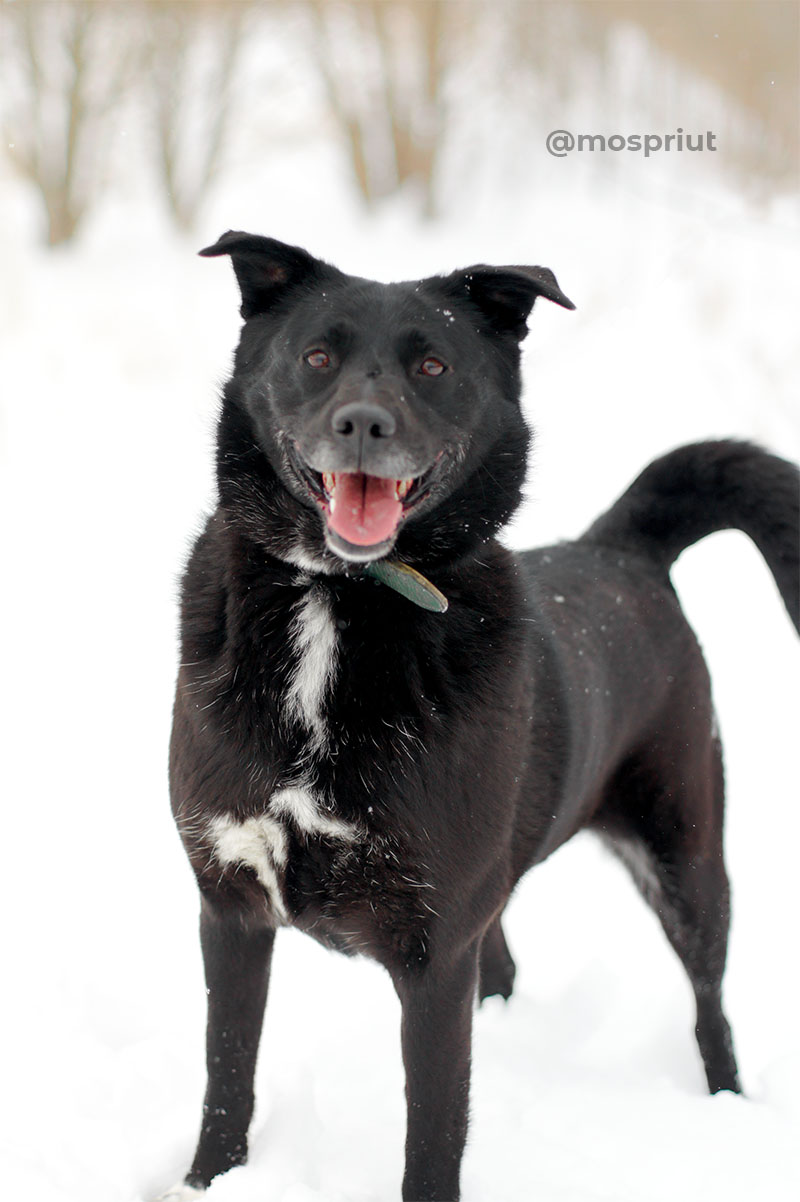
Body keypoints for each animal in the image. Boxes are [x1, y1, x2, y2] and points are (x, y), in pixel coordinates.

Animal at [158, 234, 792, 1202]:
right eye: (316, 357)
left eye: (432, 365)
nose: (364, 425)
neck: (338, 603)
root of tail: (622, 545)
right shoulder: (229, 903)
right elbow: (227, 1076)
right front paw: (207, 1181)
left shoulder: (435, 949)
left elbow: (434, 1131)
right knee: (513, 963)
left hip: (683, 853)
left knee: (709, 1004)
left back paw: (723, 1106)